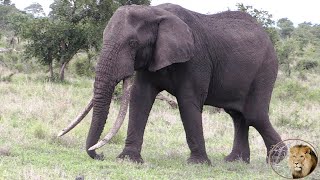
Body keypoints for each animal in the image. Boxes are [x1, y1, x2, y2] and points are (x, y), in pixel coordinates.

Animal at [58, 3, 284, 166]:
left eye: (132, 44)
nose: (100, 155)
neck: (154, 12)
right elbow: (140, 98)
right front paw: (128, 160)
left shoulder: (195, 59)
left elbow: (187, 102)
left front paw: (198, 164)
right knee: (238, 116)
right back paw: (235, 161)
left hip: (266, 68)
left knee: (254, 114)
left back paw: (277, 158)